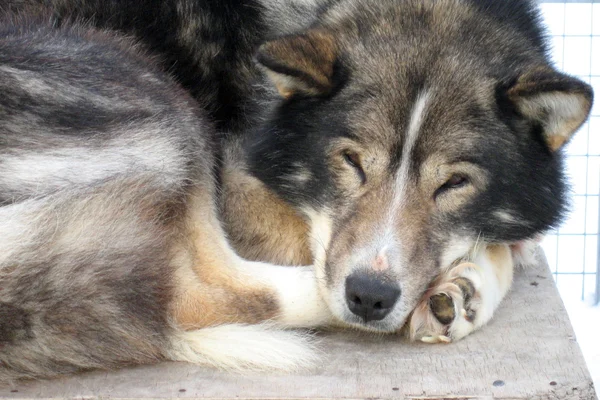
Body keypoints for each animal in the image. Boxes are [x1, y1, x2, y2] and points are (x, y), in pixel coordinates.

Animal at [0, 0, 592, 382]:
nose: (369, 297)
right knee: (203, 294)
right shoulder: (240, 185)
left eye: (453, 183)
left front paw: (465, 291)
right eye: (351, 161)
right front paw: (467, 279)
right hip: (147, 87)